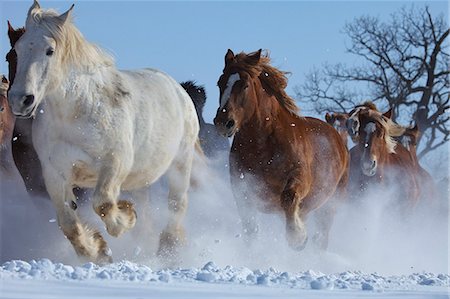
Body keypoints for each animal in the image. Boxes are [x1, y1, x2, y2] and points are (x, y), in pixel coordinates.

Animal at [7, 1, 199, 264]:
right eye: (17, 49)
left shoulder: (114, 164)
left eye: (50, 50)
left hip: (181, 163)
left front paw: (126, 215)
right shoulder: (54, 174)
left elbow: (103, 204)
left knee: (177, 205)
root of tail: (178, 89)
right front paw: (97, 251)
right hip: (140, 179)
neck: (76, 113)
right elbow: (68, 223)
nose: (21, 100)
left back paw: (168, 250)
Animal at [214, 49, 348, 251]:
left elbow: (288, 197)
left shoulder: (299, 178)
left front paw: (297, 237)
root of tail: (339, 139)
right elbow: (250, 228)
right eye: (220, 83)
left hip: (330, 206)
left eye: (244, 85)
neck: (262, 146)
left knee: (321, 237)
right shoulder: (242, 190)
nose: (223, 122)